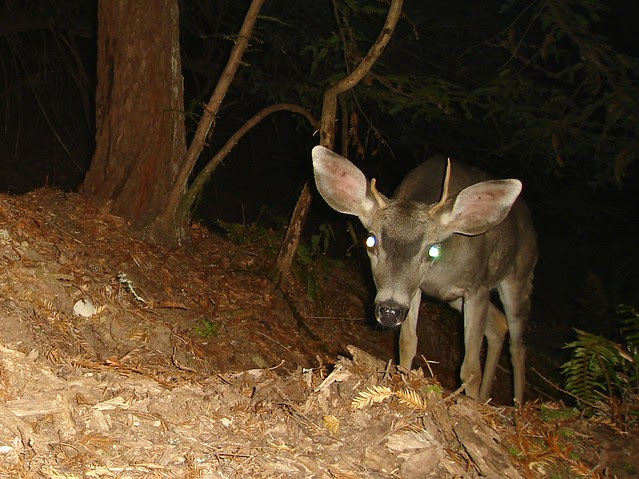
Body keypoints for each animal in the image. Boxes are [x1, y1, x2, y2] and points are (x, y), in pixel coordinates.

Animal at [311, 145, 537, 405]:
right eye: (370, 241)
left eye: (432, 249)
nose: (389, 311)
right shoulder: (415, 289)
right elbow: (407, 343)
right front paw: (403, 387)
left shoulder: (477, 287)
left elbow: (470, 368)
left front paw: (468, 403)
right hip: (455, 300)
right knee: (498, 325)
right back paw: (485, 397)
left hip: (520, 275)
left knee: (518, 344)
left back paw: (516, 406)